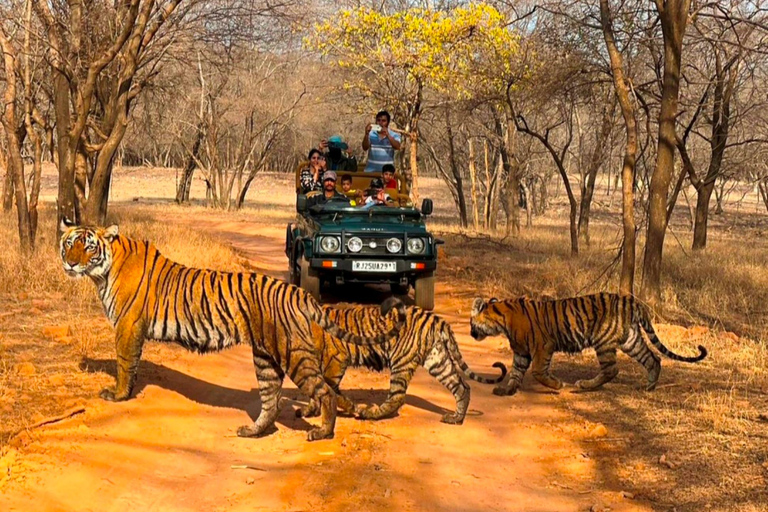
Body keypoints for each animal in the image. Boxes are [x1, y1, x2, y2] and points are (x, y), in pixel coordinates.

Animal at [57, 220, 404, 440]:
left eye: (88, 247)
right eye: (69, 244)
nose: (70, 265)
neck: (103, 271)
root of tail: (297, 292)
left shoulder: (127, 326)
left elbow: (124, 364)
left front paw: (117, 396)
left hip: (293, 354)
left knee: (324, 392)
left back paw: (323, 432)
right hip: (266, 358)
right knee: (272, 401)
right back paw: (253, 431)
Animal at [296, 304, 508, 424]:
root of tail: (435, 319)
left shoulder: (335, 360)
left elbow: (325, 388)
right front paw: (309, 410)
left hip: (401, 360)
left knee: (397, 396)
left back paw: (369, 414)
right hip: (437, 359)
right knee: (461, 386)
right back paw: (456, 418)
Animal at [468, 292, 708, 396]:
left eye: (471, 323)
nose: (470, 333)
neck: (501, 320)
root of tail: (632, 301)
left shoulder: (543, 346)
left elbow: (537, 371)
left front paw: (557, 385)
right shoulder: (521, 351)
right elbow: (516, 372)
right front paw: (506, 389)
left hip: (603, 341)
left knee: (611, 369)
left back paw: (583, 386)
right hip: (630, 340)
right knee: (653, 358)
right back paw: (648, 387)